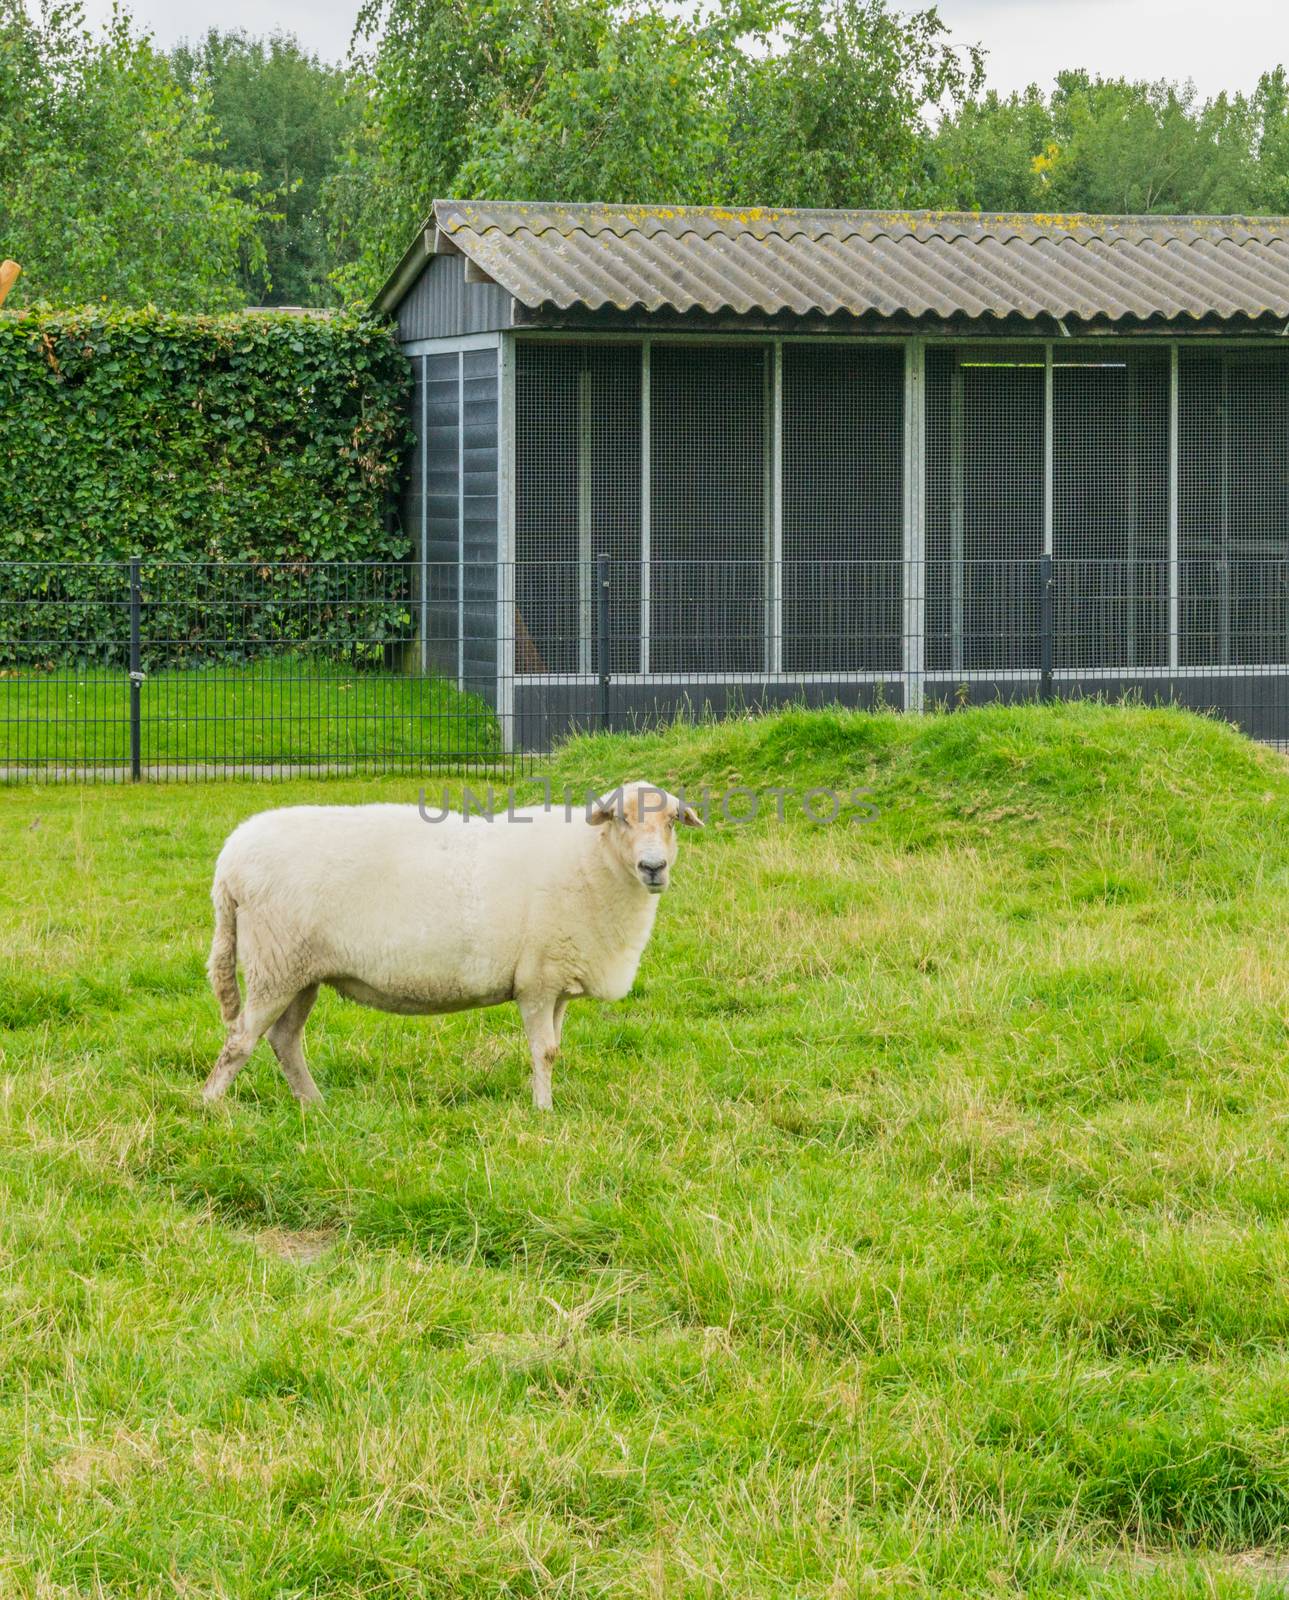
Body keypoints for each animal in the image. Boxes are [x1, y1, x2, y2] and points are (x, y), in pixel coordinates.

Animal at [206, 780, 700, 1107]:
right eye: (620, 818)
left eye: (673, 821)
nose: (653, 867)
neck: (591, 859)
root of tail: (229, 861)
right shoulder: (536, 983)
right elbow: (543, 1051)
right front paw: (543, 1112)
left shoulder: (556, 980)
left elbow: (554, 1050)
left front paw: (544, 1101)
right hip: (275, 963)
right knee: (241, 1039)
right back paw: (211, 1106)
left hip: (300, 970)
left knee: (284, 1039)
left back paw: (313, 1105)